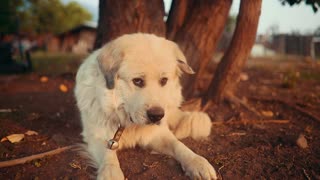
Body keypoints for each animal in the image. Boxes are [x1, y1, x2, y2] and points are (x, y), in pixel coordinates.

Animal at [74, 33, 216, 179]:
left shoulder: (158, 133)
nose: (157, 116)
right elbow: (108, 156)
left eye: (163, 80)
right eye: (137, 81)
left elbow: (179, 145)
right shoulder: (98, 137)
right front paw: (111, 172)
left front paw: (198, 162)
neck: (129, 124)